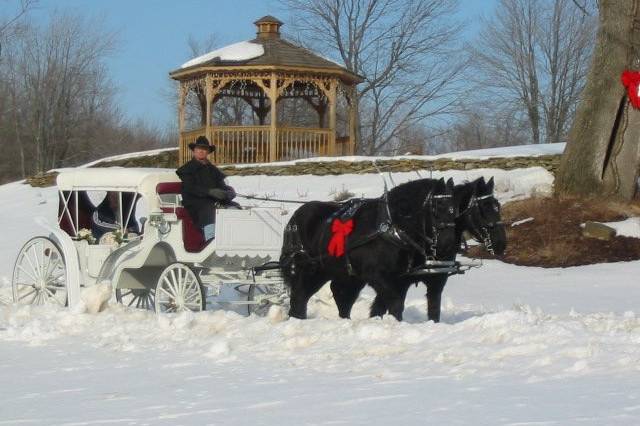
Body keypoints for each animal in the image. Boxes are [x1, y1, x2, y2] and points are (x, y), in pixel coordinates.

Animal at [280, 176, 456, 320]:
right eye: (438, 206)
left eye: (455, 209)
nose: (449, 244)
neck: (390, 228)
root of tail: (294, 220)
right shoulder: (377, 276)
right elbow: (395, 302)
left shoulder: (400, 279)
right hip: (307, 270)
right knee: (300, 297)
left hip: (335, 273)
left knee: (340, 296)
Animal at [368, 175, 508, 322]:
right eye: (483, 208)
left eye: (497, 206)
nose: (501, 243)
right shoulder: (399, 282)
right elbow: (389, 309)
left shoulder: (436, 282)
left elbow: (434, 313)